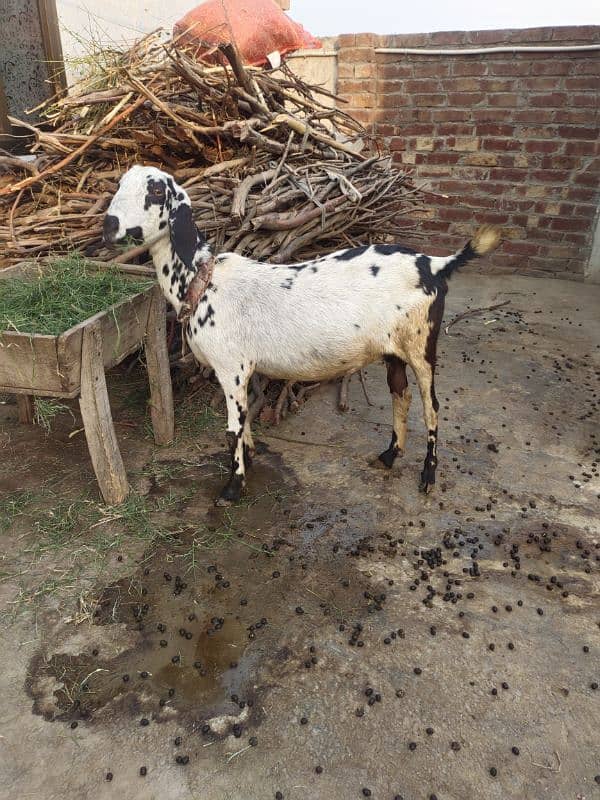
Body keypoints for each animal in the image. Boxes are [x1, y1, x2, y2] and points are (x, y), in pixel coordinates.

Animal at [104, 166, 502, 506]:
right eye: (120, 184)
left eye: (156, 191)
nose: (109, 224)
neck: (202, 282)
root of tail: (434, 264)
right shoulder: (238, 371)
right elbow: (244, 422)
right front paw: (249, 457)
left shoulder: (231, 367)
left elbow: (232, 427)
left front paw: (233, 488)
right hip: (393, 348)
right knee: (399, 395)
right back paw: (390, 456)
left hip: (421, 345)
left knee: (431, 406)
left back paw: (428, 477)